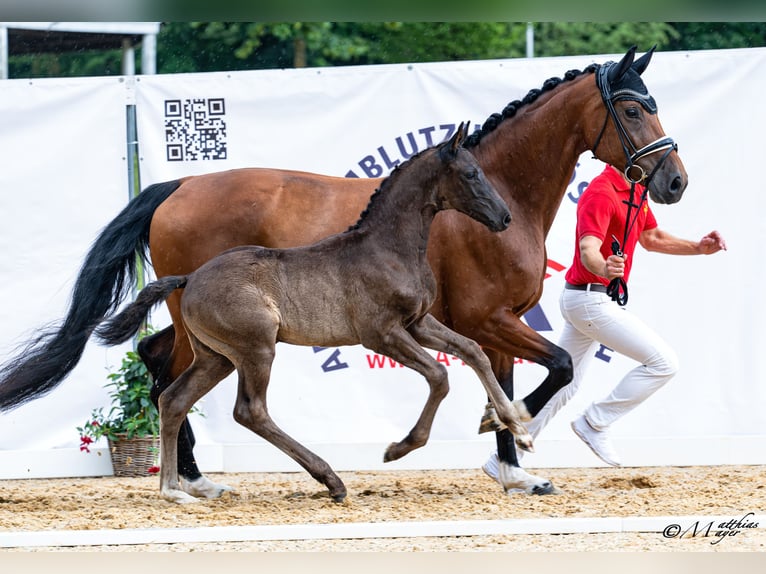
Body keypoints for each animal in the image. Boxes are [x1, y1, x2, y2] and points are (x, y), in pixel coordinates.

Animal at [94, 123, 525, 503]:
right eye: (471, 173)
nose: (505, 218)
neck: (389, 248)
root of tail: (190, 278)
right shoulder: (381, 334)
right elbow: (439, 375)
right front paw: (398, 448)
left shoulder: (417, 323)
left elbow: (473, 351)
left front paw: (517, 426)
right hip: (256, 348)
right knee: (250, 411)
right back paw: (330, 480)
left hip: (217, 357)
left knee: (173, 399)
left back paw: (174, 491)